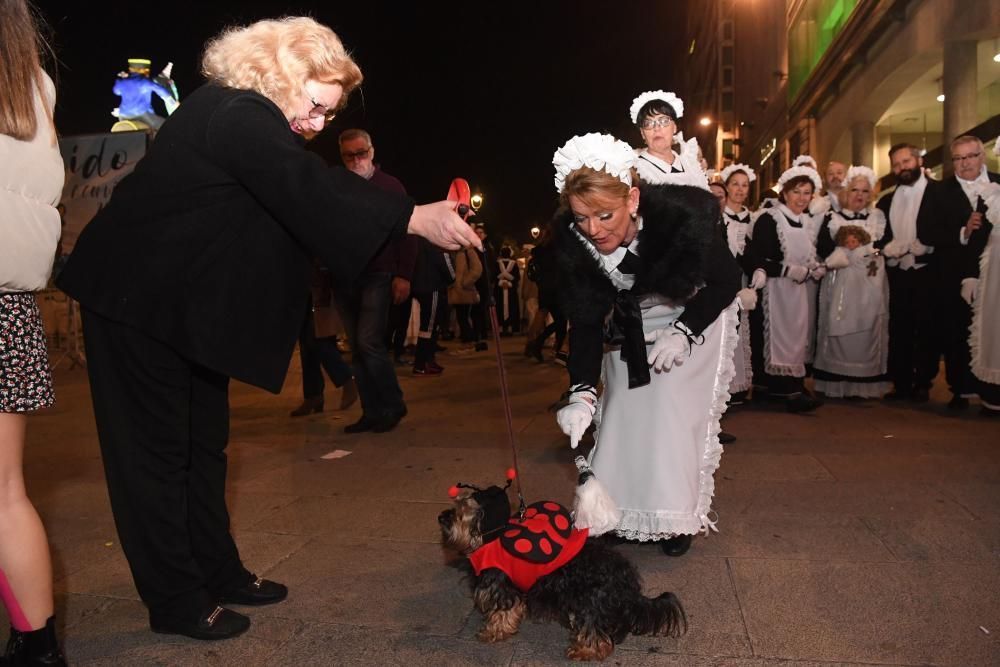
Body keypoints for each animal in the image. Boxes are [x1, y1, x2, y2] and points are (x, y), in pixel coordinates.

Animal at [440, 480, 688, 664]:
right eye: (456, 505)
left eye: (461, 512)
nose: (441, 517)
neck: (489, 538)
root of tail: (626, 583)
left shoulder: (500, 586)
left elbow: (501, 614)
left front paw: (492, 632)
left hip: (590, 602)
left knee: (596, 633)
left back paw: (584, 651)